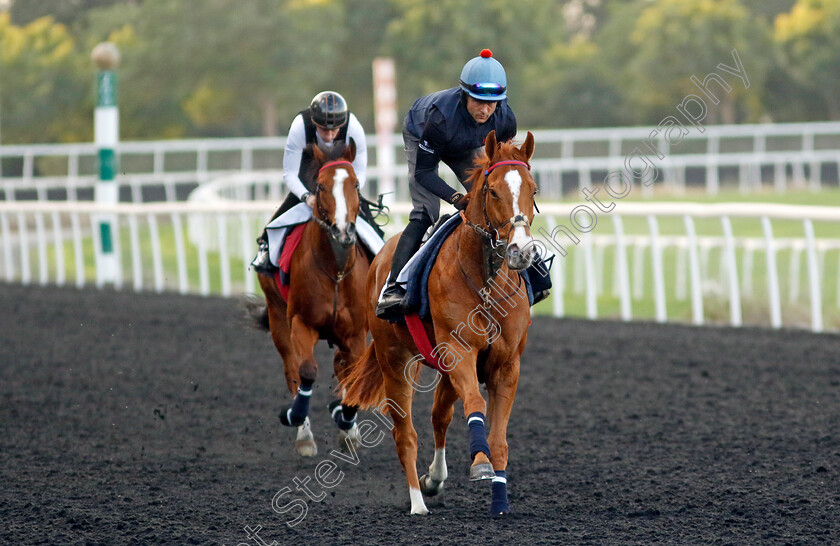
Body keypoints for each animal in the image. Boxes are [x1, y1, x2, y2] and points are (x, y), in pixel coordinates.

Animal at [258, 139, 370, 454]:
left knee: (341, 368)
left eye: (356, 184)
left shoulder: (355, 332)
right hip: (277, 315)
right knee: (292, 369)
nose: (344, 230)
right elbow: (306, 371)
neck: (335, 271)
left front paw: (345, 419)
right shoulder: (301, 322)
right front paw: (296, 418)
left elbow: (354, 376)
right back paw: (304, 431)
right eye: (320, 186)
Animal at [342, 130, 540, 512]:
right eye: (493, 191)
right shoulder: (459, 351)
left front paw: (500, 500)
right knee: (405, 433)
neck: (485, 282)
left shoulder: (507, 364)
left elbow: (499, 439)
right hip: (394, 360)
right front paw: (480, 464)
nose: (521, 252)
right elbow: (476, 405)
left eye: (533, 190)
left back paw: (433, 480)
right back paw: (418, 502)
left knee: (439, 415)